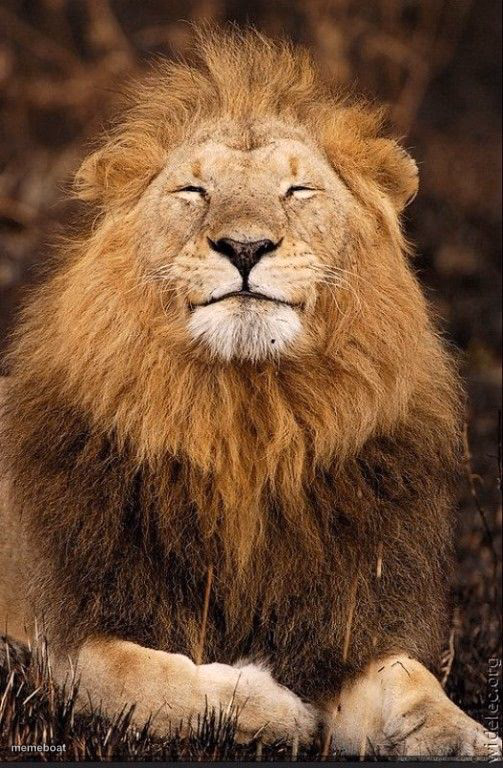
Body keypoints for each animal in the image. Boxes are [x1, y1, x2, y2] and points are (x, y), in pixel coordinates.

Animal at [0, 29, 500, 758]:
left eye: (298, 188)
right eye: (192, 189)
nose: (244, 246)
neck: (246, 426)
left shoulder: (345, 628)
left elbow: (414, 691)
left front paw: (468, 737)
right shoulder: (56, 638)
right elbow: (140, 675)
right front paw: (274, 708)